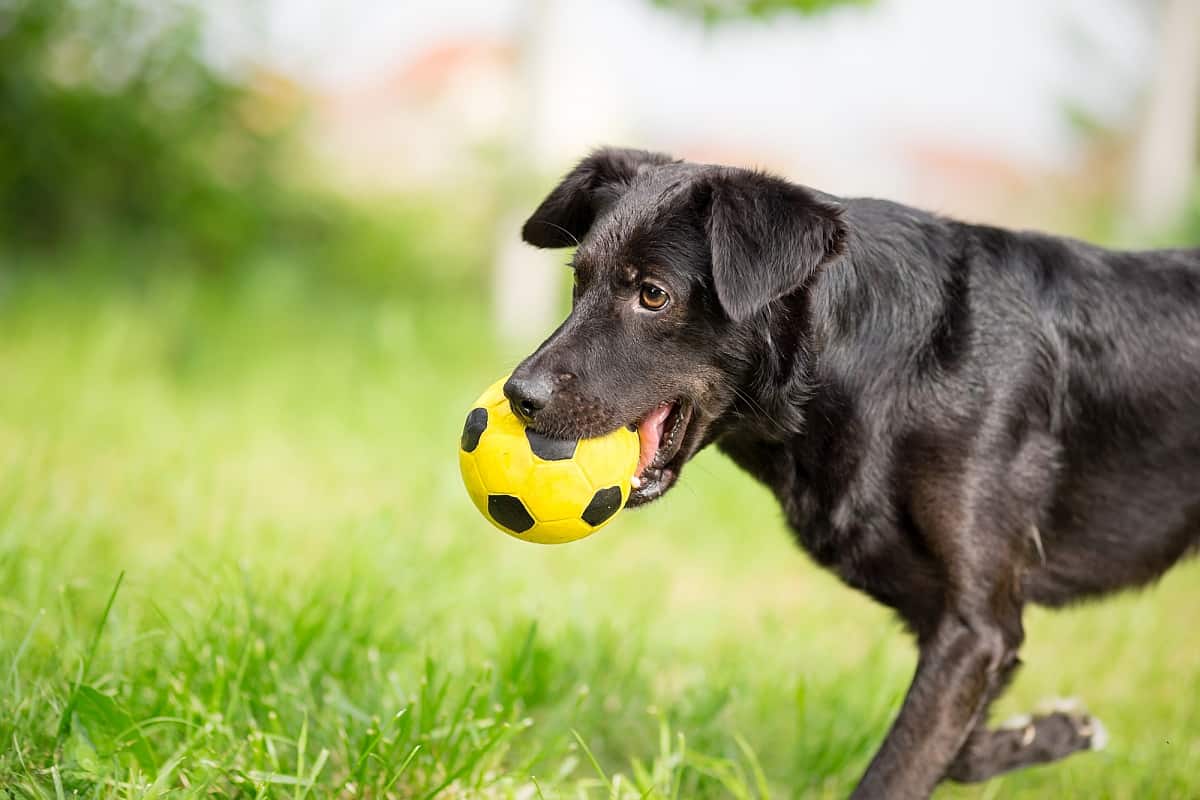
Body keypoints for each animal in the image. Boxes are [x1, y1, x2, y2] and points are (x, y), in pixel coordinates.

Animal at [499, 146, 1200, 796]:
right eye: (578, 282)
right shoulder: (961, 624)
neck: (879, 364)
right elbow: (955, 747)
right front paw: (1048, 733)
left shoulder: (974, 624)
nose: (517, 395)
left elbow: (900, 767)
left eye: (653, 294)